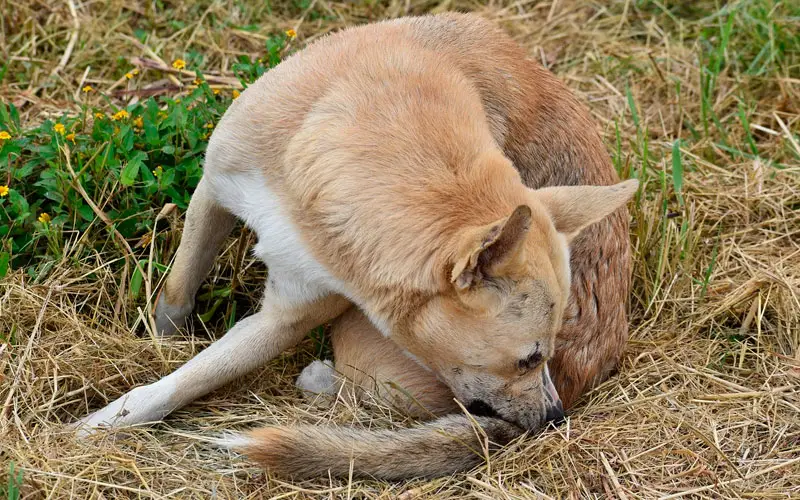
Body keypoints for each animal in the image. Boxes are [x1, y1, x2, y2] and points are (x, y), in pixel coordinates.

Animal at [75, 13, 636, 478]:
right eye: (528, 359)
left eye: (544, 356)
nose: (556, 419)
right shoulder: (214, 191)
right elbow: (177, 293)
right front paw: (156, 344)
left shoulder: (286, 318)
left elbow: (192, 377)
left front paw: (107, 420)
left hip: (357, 341)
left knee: (367, 395)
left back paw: (321, 380)